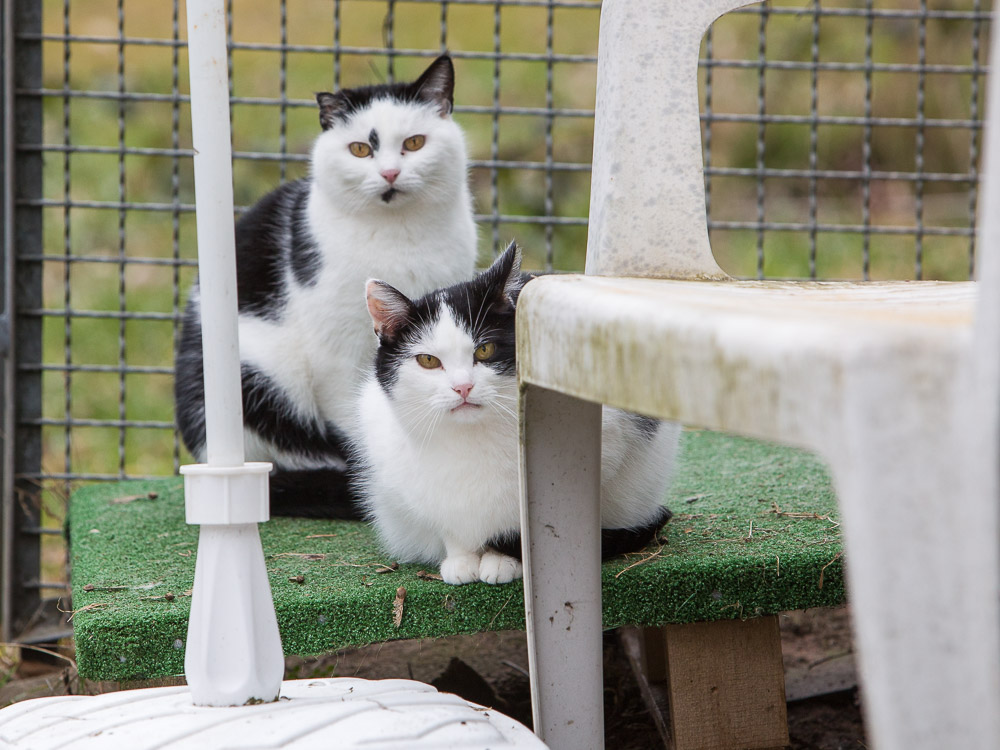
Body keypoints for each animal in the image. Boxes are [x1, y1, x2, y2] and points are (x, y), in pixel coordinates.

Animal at [176, 55, 476, 520]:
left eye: (414, 143)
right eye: (360, 149)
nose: (390, 173)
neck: (401, 235)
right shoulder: (337, 357)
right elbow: (358, 421)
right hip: (253, 378)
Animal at [354, 247, 680, 588]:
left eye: (485, 350)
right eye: (428, 360)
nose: (463, 387)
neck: (474, 439)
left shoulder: (610, 436)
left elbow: (517, 523)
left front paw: (502, 559)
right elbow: (449, 517)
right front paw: (461, 558)